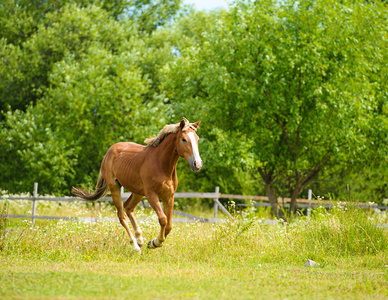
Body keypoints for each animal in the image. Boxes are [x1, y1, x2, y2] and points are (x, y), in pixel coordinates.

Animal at [71, 118, 203, 252]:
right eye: (183, 139)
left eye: (197, 138)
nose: (197, 164)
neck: (161, 165)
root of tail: (109, 151)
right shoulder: (151, 195)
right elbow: (163, 219)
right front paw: (155, 242)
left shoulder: (169, 197)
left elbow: (169, 225)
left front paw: (152, 242)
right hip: (115, 188)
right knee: (122, 215)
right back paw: (135, 245)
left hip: (138, 192)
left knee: (128, 207)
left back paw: (140, 240)